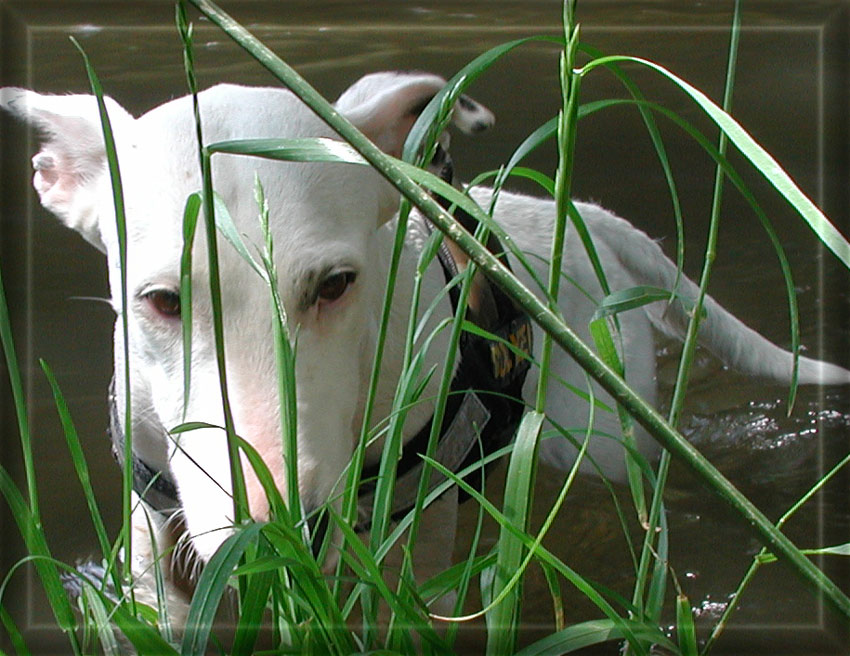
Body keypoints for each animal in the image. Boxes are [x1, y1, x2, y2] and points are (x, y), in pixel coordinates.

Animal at [3, 73, 844, 624]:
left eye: (335, 284)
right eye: (161, 301)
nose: (281, 534)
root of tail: (588, 221)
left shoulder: (422, 530)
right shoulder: (157, 529)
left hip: (598, 440)